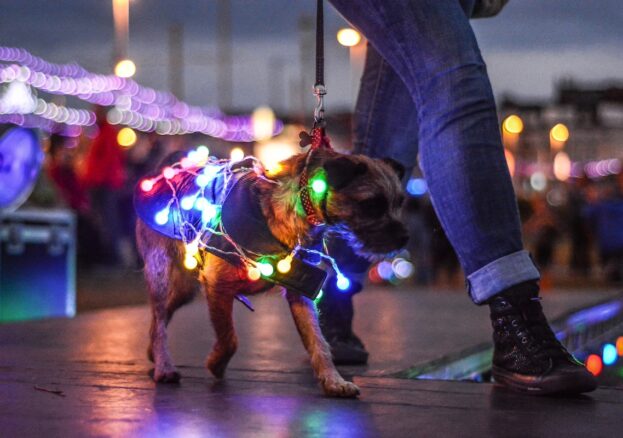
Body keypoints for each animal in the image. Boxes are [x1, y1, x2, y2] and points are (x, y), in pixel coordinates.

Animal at [136, 148, 408, 396]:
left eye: (399, 202)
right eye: (371, 204)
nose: (404, 237)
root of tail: (165, 170)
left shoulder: (301, 289)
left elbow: (318, 341)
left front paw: (333, 380)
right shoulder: (217, 285)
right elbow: (229, 338)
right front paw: (216, 363)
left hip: (183, 291)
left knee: (158, 321)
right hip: (165, 275)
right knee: (159, 321)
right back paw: (164, 365)